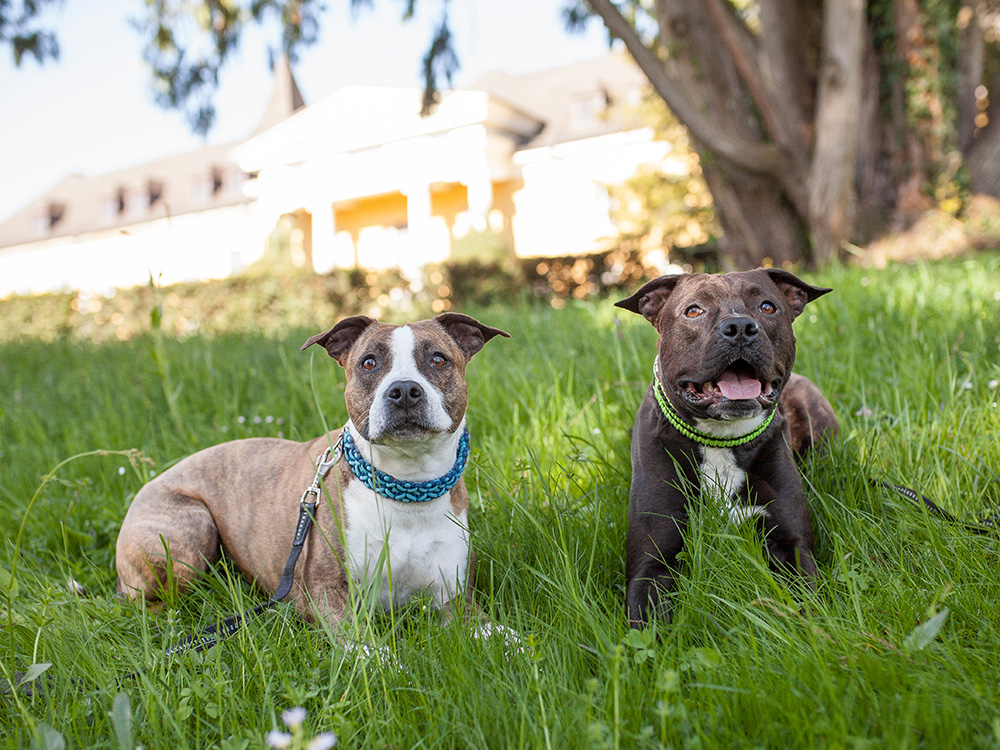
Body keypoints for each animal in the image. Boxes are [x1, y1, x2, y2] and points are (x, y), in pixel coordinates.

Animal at [616, 270, 836, 628]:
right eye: (694, 311)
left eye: (767, 306)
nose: (741, 327)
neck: (721, 438)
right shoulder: (651, 564)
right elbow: (649, 631)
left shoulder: (793, 545)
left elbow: (809, 607)